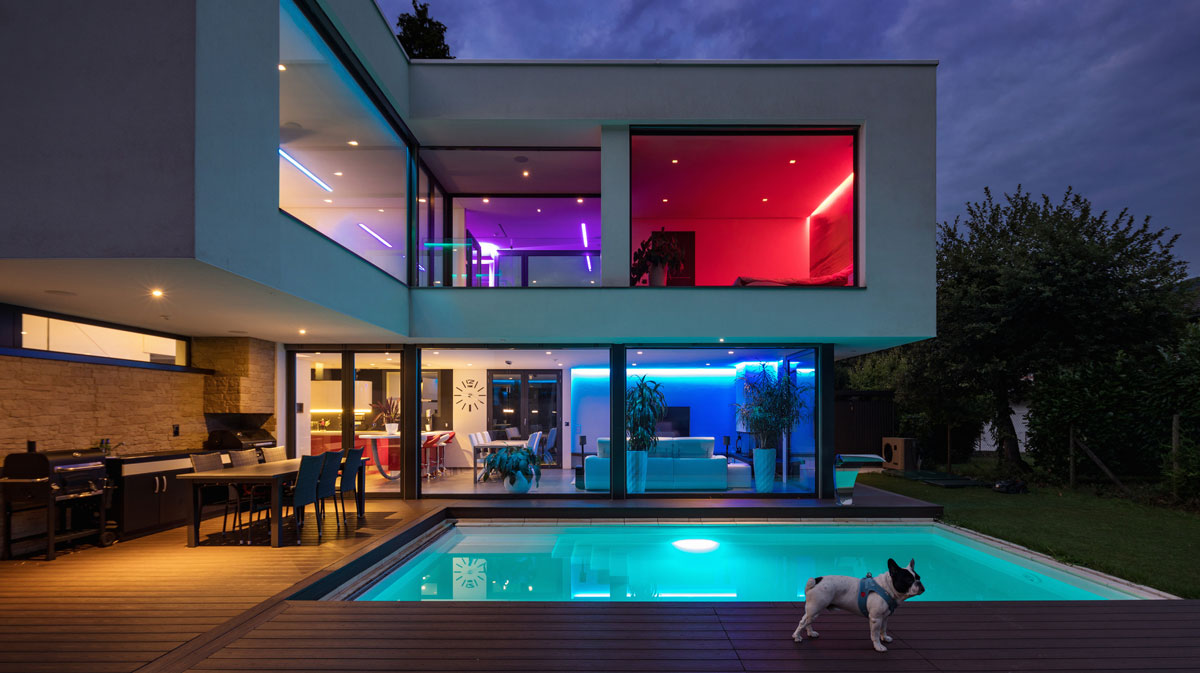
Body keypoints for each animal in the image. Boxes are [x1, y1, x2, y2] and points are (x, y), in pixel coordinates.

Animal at [792, 556, 921, 652]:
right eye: (909, 580)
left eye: (919, 578)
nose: (919, 583)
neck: (887, 588)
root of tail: (816, 581)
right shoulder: (876, 619)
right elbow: (875, 634)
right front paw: (878, 646)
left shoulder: (884, 617)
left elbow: (883, 629)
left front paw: (884, 638)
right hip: (816, 608)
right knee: (803, 622)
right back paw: (796, 636)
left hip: (813, 610)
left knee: (806, 620)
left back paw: (810, 633)